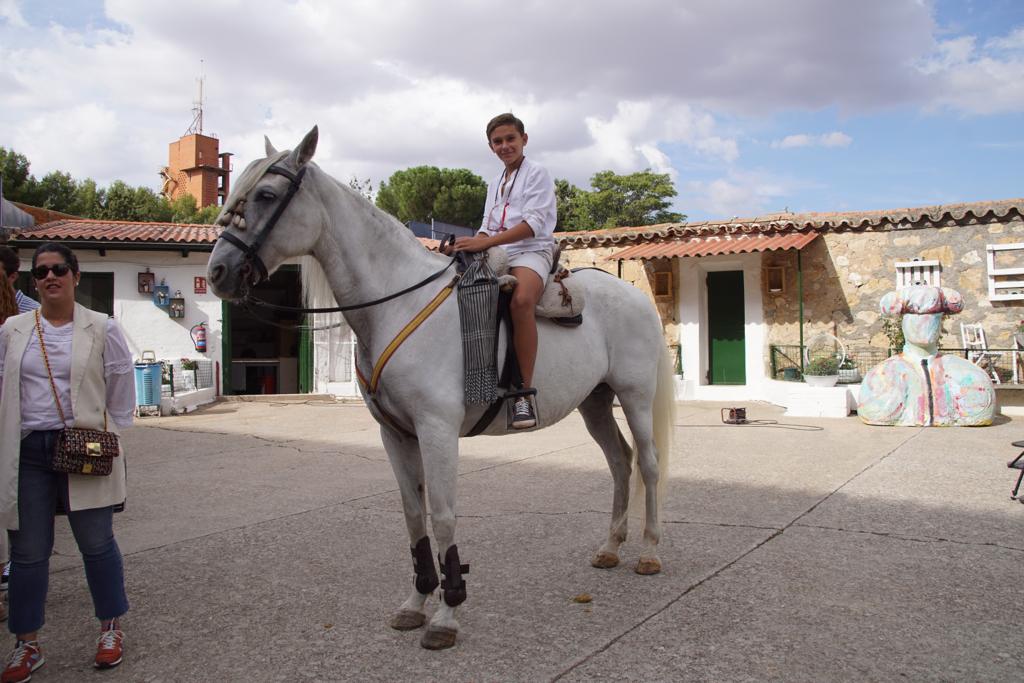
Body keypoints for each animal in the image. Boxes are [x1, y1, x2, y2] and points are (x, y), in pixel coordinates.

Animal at [203, 127, 675, 651]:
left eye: (266, 195)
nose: (218, 271)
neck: (397, 304)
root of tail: (632, 295)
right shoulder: (396, 435)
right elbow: (414, 516)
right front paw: (416, 603)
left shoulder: (437, 431)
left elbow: (444, 515)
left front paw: (448, 614)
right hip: (594, 403)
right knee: (620, 462)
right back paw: (610, 548)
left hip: (634, 397)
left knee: (649, 464)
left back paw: (649, 553)